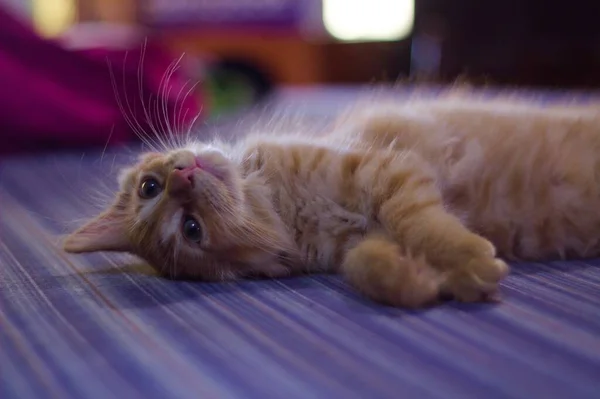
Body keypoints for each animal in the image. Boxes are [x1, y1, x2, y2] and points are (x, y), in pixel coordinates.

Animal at [65, 91, 600, 310]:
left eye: (149, 188)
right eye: (191, 228)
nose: (183, 176)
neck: (287, 208)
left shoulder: (389, 172)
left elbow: (424, 227)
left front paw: (466, 259)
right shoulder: (363, 234)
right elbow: (364, 264)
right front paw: (417, 281)